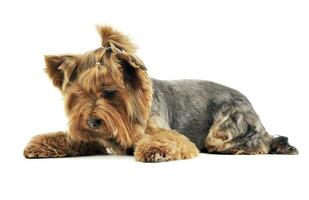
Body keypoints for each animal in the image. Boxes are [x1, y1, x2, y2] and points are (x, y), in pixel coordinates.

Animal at [22, 25, 298, 162]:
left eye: (109, 92)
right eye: (78, 96)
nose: (90, 122)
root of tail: (253, 110)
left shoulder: (166, 132)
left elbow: (165, 140)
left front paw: (154, 150)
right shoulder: (98, 138)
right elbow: (78, 140)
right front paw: (40, 145)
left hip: (227, 125)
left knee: (257, 142)